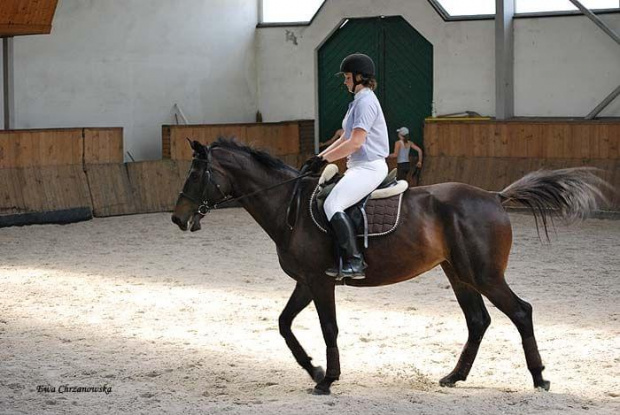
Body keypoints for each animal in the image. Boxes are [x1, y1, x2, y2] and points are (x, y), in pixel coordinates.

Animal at [172, 138, 608, 394]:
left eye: (195, 173)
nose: (177, 219)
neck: (289, 207)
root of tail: (493, 196)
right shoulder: (305, 282)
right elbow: (284, 325)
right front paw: (313, 370)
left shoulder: (320, 282)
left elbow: (328, 328)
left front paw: (327, 380)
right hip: (458, 273)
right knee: (478, 321)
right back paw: (454, 377)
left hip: (484, 274)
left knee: (520, 312)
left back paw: (539, 378)